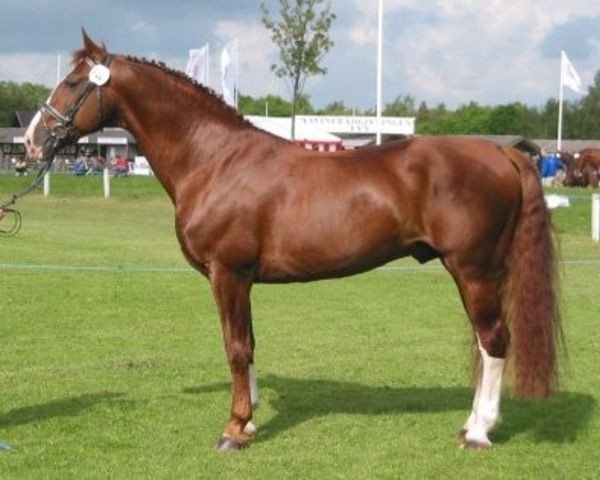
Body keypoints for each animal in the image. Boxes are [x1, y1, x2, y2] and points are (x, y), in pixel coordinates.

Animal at [23, 31, 560, 452]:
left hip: (473, 270)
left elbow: (236, 347)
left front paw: (234, 429)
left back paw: (480, 432)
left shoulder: (228, 273)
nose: (31, 141)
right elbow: (248, 343)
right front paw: (250, 420)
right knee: (485, 342)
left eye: (72, 83)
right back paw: (471, 424)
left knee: (494, 341)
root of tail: (503, 154)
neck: (215, 160)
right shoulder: (240, 280)